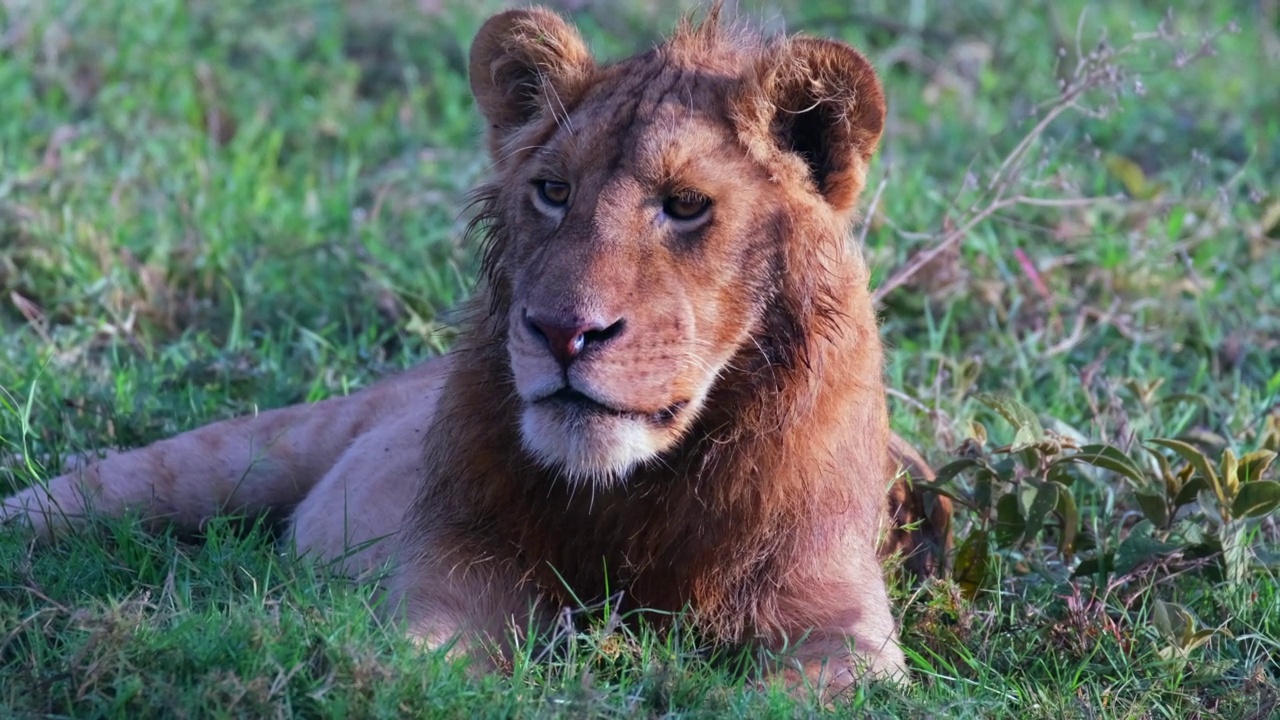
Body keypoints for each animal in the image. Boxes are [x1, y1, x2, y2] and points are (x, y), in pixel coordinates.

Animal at [0, 4, 947, 696]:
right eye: (553, 192)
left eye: (685, 205)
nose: (563, 332)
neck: (636, 491)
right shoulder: (451, 571)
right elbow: (420, 657)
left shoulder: (839, 627)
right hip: (217, 462)